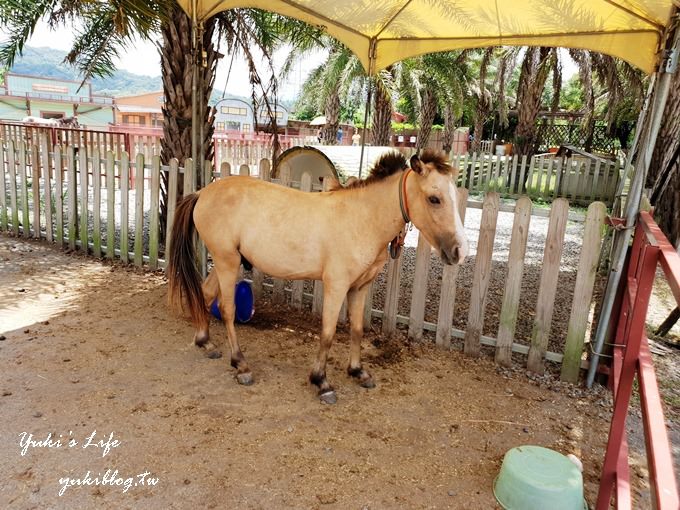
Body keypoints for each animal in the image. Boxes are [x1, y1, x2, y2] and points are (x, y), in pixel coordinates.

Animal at [167, 149, 470, 404]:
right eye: (434, 198)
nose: (459, 251)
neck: (362, 219)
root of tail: (202, 193)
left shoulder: (360, 288)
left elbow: (357, 330)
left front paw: (358, 371)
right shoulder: (336, 286)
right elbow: (327, 333)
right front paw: (322, 382)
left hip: (226, 263)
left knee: (206, 293)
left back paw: (205, 342)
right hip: (226, 262)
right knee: (227, 309)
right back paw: (240, 364)